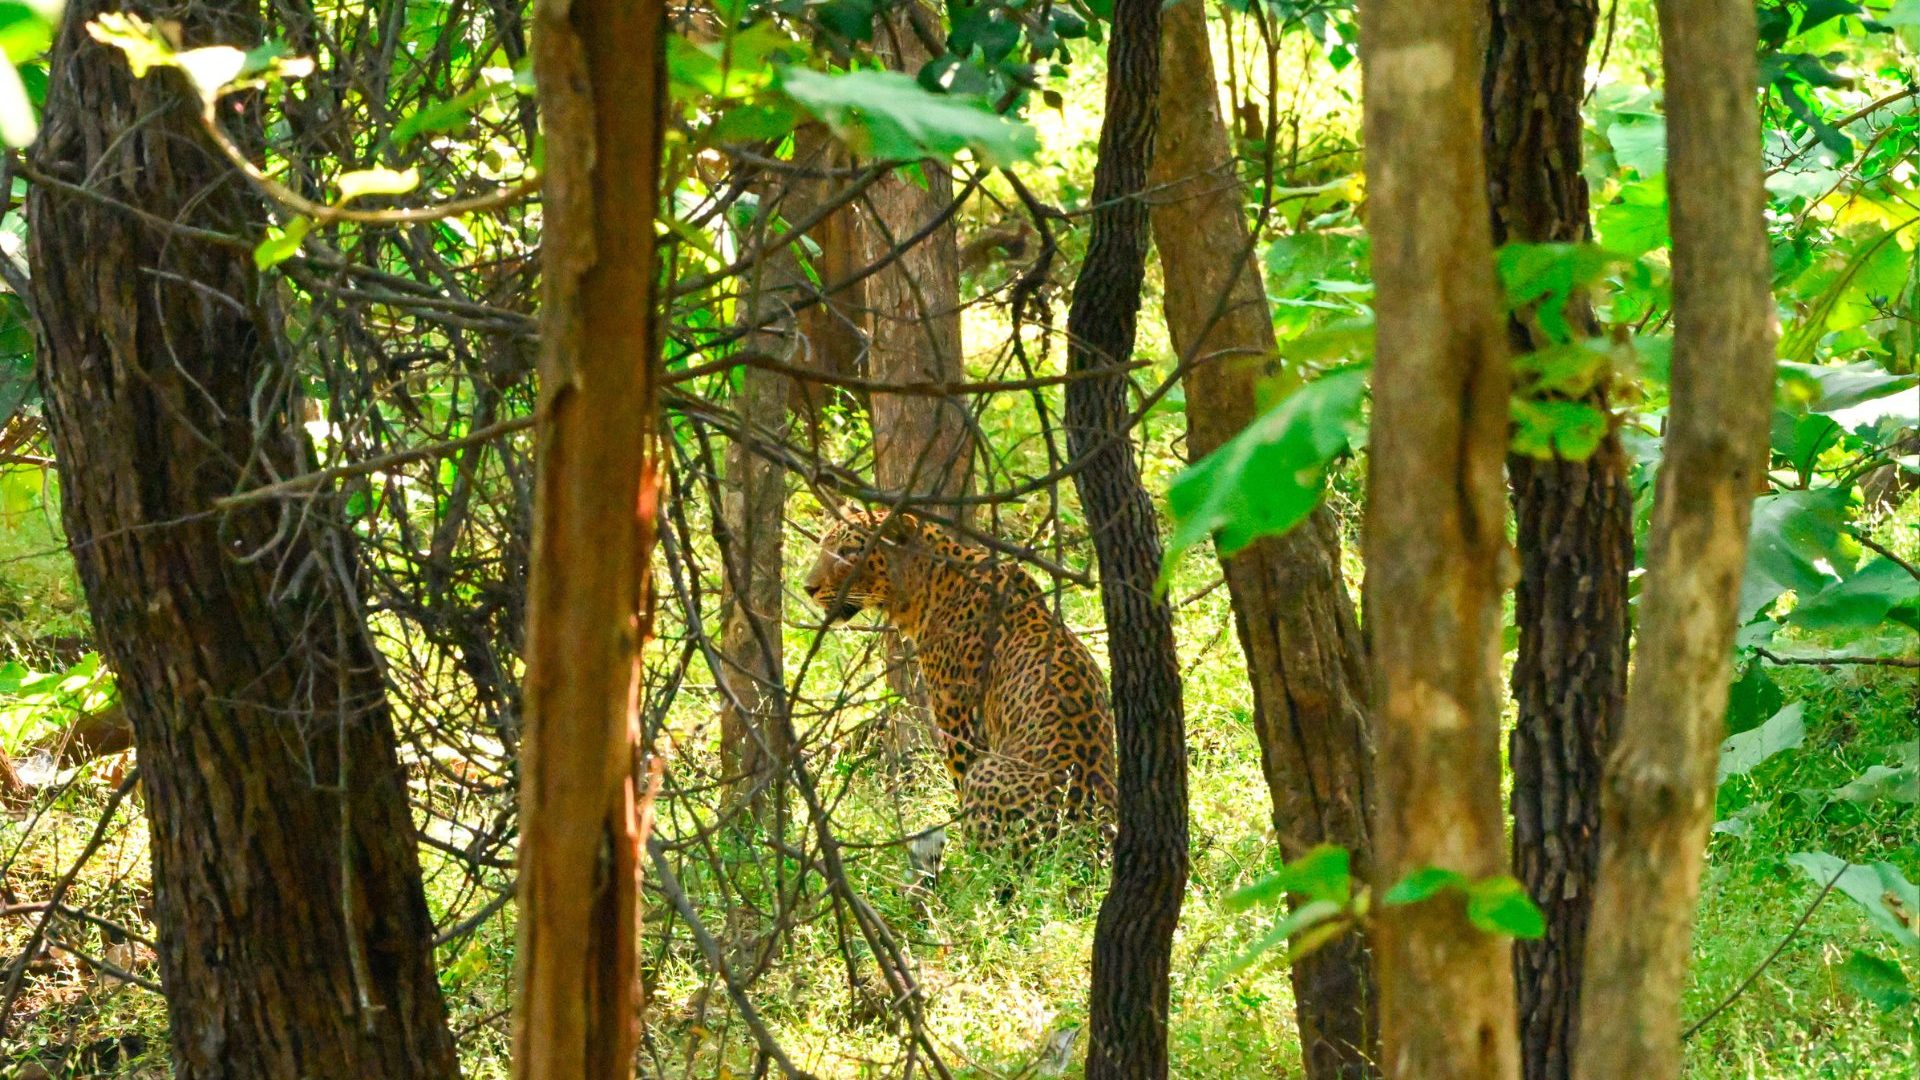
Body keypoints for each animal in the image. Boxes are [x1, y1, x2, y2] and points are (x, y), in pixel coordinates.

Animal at [802, 507, 1121, 849]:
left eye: (848, 552)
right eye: (823, 546)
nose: (808, 588)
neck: (924, 587)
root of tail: (1091, 834)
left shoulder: (961, 727)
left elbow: (958, 785)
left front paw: (961, 851)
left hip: (989, 769)